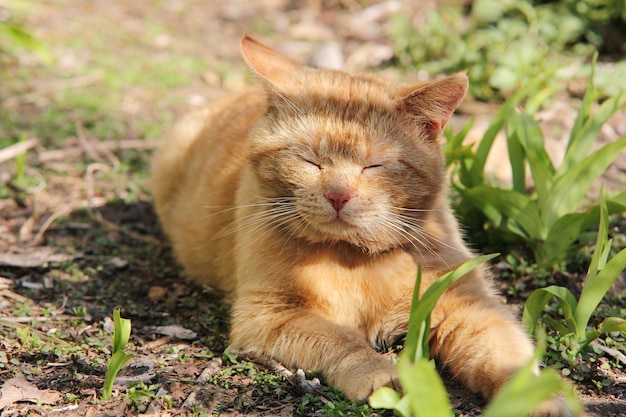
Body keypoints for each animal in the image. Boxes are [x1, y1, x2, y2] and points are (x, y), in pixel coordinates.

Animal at [151, 35, 572, 416]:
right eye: (310, 161)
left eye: (373, 166)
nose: (338, 195)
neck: (354, 259)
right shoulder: (267, 317)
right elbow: (342, 340)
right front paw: (380, 375)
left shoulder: (470, 306)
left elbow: (506, 357)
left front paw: (536, 399)